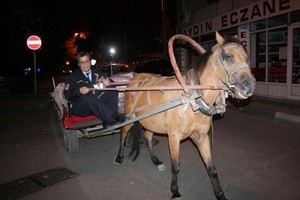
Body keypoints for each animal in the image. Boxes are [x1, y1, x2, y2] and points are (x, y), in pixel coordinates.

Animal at [114, 32, 255, 199]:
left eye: (247, 57)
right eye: (227, 56)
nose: (249, 86)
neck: (193, 97)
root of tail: (135, 78)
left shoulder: (201, 137)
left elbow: (212, 169)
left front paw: (220, 194)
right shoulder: (174, 137)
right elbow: (176, 167)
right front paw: (175, 191)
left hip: (150, 121)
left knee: (147, 137)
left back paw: (156, 161)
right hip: (130, 117)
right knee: (123, 133)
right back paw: (119, 157)